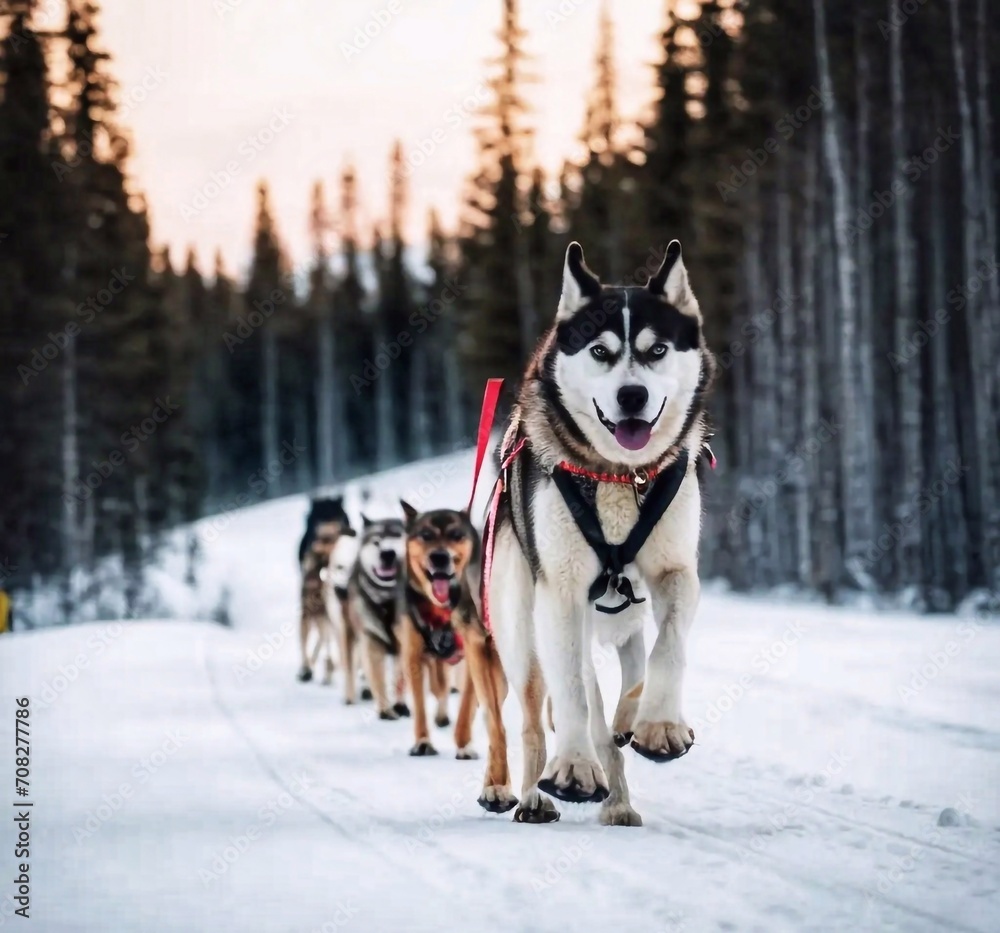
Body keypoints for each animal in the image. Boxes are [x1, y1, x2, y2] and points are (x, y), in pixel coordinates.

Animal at [396, 502, 512, 800]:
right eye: (425, 535)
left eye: (456, 535)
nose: (439, 557)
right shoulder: (413, 655)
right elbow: (420, 705)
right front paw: (422, 741)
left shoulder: (472, 654)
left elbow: (467, 708)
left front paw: (463, 744)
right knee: (437, 686)